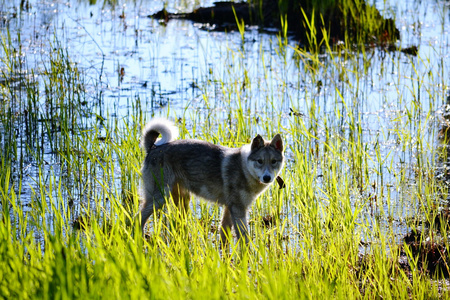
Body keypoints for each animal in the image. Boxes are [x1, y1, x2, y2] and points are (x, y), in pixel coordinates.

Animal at [138, 118, 284, 244]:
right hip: (159, 198)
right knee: (137, 218)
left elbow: (224, 233)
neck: (244, 168)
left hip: (182, 200)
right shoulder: (238, 209)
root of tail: (153, 148)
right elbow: (244, 238)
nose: (267, 178)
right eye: (259, 161)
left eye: (273, 161)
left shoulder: (229, 208)